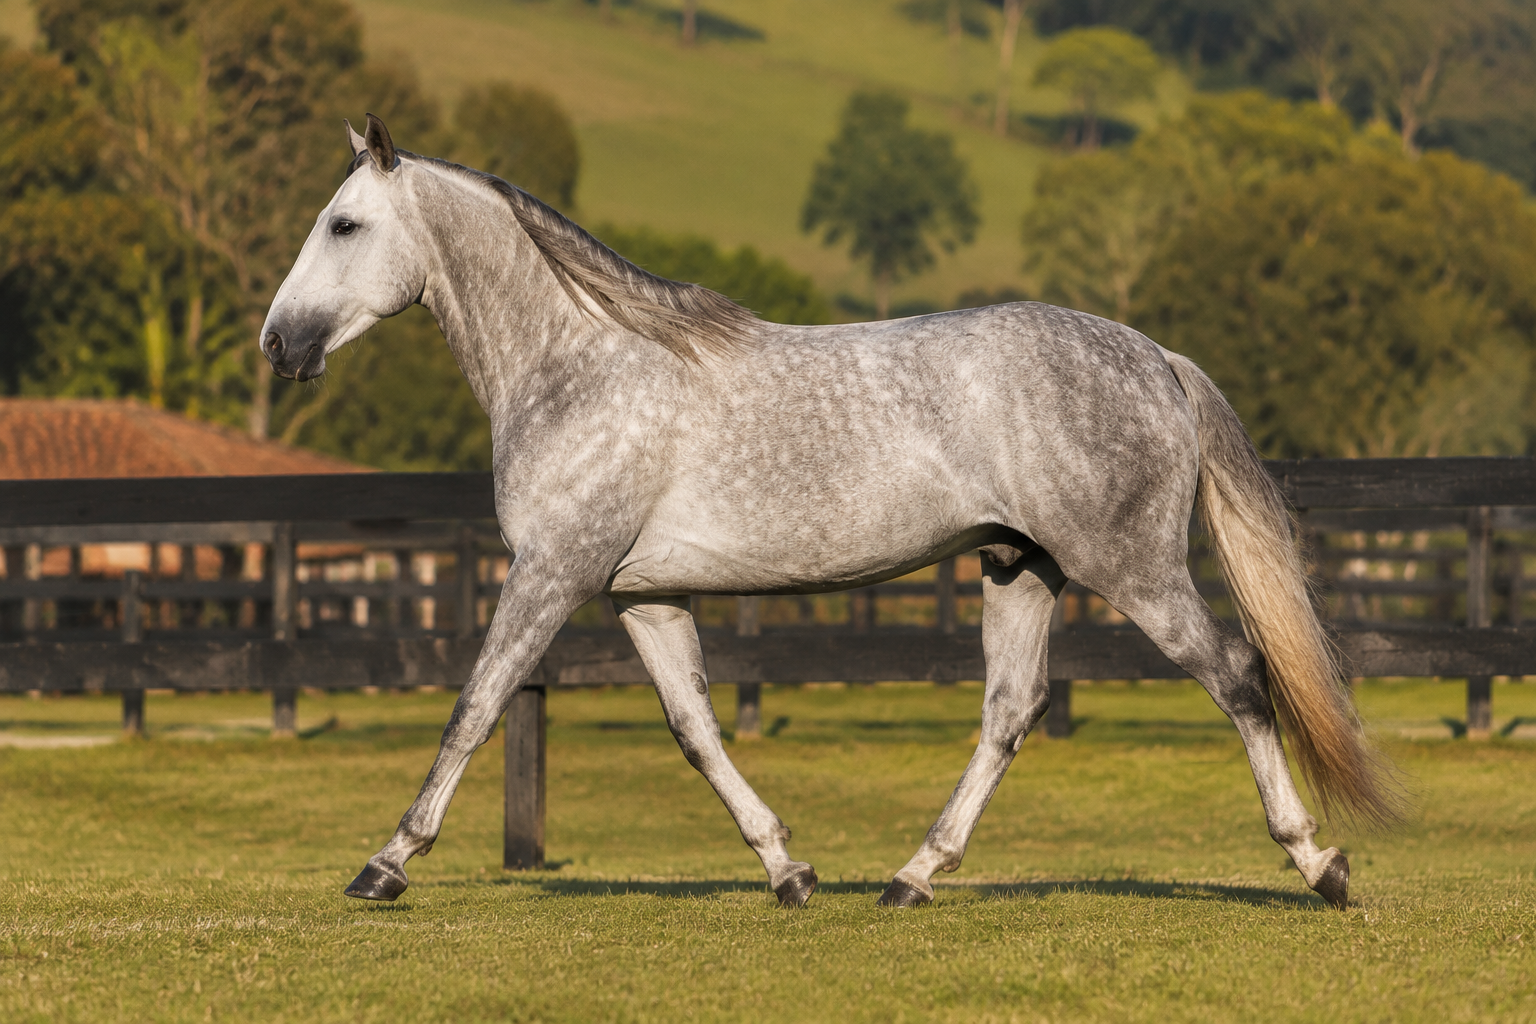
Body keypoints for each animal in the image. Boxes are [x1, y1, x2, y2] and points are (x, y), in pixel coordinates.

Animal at [261, 114, 1396, 912]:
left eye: (344, 224)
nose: (279, 343)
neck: (581, 366)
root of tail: (1157, 357)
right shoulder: (641, 595)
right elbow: (696, 731)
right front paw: (787, 869)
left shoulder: (551, 573)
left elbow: (476, 705)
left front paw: (386, 863)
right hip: (1020, 566)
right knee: (1008, 713)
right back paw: (912, 876)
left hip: (1135, 570)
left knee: (1238, 677)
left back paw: (1319, 863)